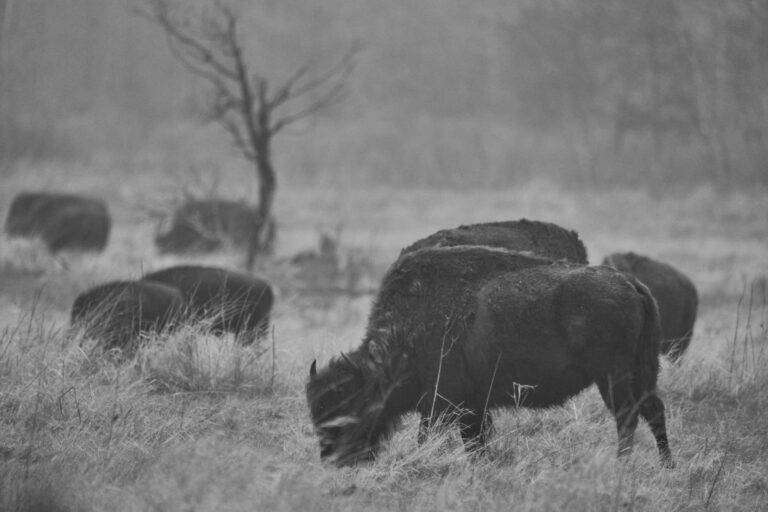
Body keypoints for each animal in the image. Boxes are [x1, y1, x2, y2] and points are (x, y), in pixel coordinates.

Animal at [307, 245, 672, 467]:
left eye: (348, 406)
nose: (332, 459)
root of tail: (630, 284)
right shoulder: (472, 407)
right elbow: (475, 443)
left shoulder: (443, 405)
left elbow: (441, 437)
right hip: (642, 371)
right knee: (653, 410)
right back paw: (666, 465)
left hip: (612, 376)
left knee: (627, 416)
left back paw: (621, 465)